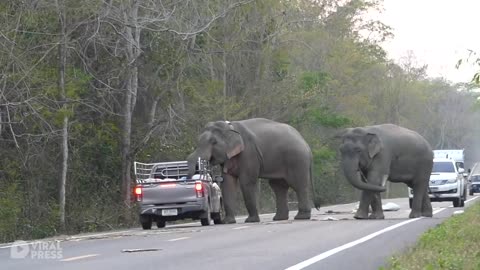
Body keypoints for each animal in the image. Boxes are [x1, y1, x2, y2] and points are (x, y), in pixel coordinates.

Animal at [187, 118, 318, 224]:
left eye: (213, 142)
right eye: (198, 141)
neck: (230, 126)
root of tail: (306, 144)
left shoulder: (249, 153)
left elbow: (247, 182)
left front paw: (251, 221)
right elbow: (228, 184)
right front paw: (227, 222)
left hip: (297, 160)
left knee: (298, 185)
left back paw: (301, 217)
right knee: (278, 187)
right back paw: (279, 218)